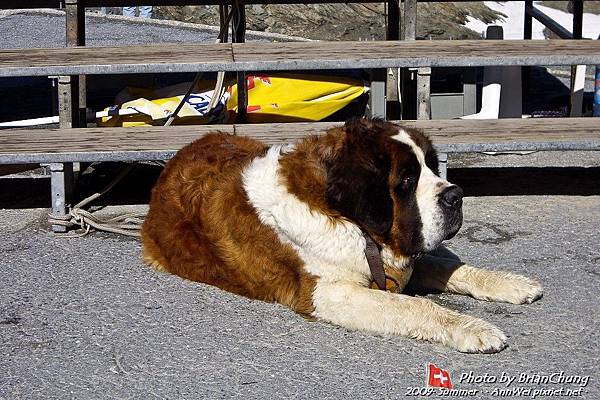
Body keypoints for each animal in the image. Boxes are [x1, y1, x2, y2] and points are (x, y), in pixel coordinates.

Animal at [141, 118, 544, 354]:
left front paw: (511, 283)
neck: (349, 219)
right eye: (407, 180)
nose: (456, 196)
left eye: (432, 167)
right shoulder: (328, 292)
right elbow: (416, 305)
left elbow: (451, 267)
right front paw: (473, 328)